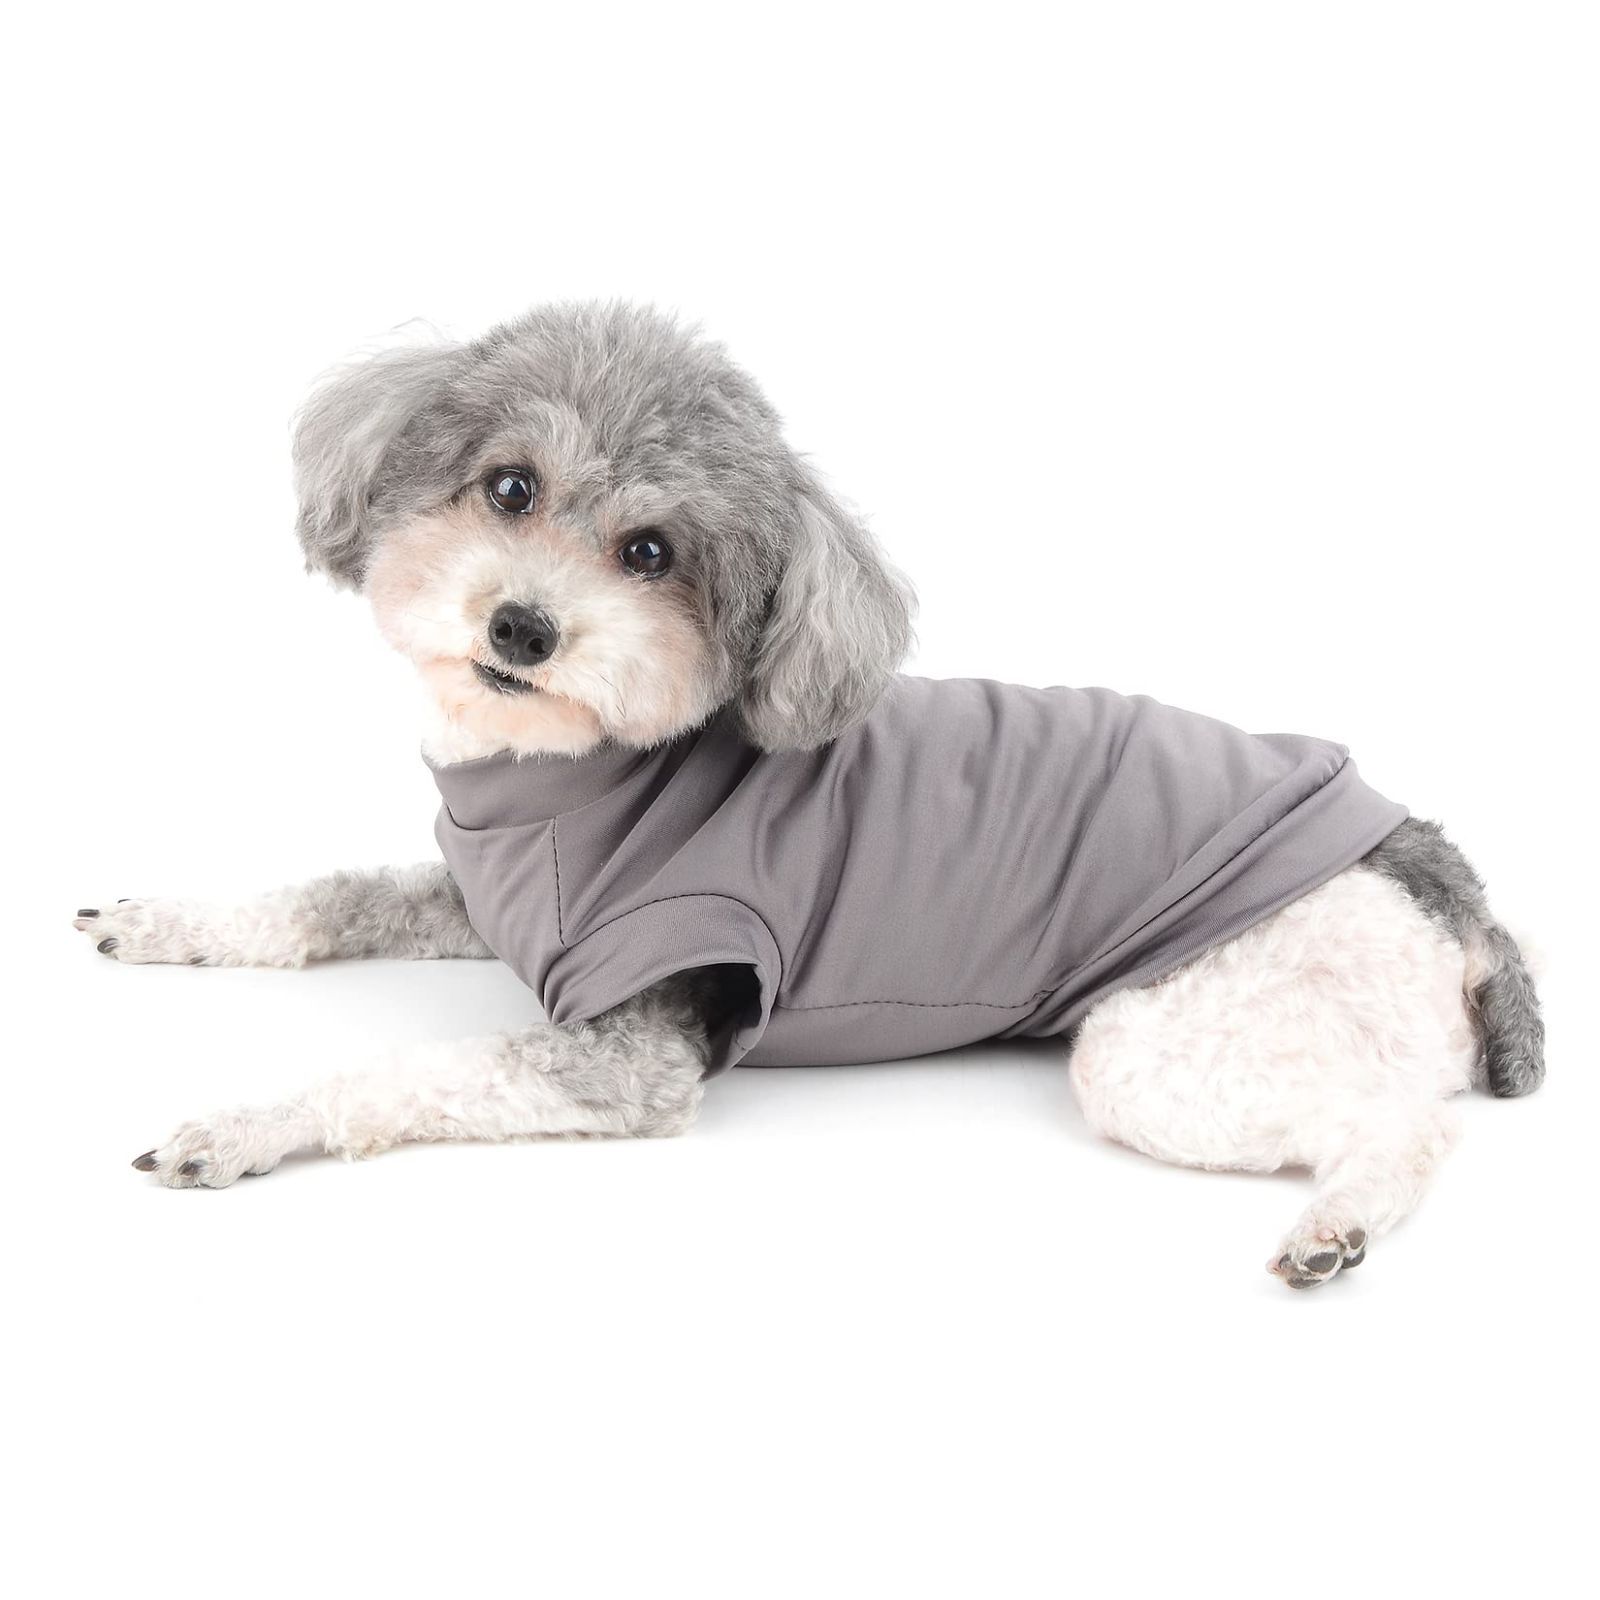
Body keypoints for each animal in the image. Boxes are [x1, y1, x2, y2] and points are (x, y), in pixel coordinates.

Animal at [77, 302, 1544, 1287]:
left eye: (651, 553)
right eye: (508, 485)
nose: (523, 628)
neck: (560, 784)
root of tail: (1444, 880)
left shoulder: (637, 1045)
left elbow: (401, 1069)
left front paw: (246, 1123)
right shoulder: (469, 896)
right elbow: (323, 898)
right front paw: (162, 922)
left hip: (1173, 1037)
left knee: (1410, 1127)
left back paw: (1336, 1224)